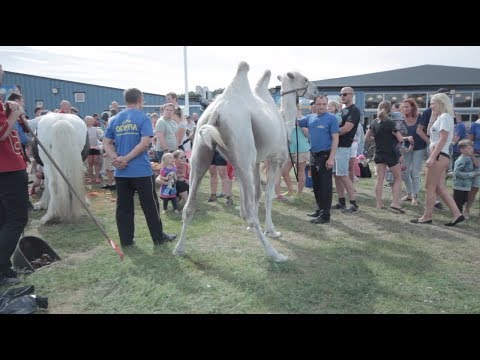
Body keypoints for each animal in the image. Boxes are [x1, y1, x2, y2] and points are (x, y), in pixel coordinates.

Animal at [172, 60, 318, 260]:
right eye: (305, 79)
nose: (317, 91)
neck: (283, 120)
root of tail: (215, 113)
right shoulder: (275, 159)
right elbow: (268, 195)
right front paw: (271, 231)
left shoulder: (255, 162)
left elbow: (256, 193)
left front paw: (250, 225)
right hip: (242, 147)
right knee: (250, 212)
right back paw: (275, 254)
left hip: (202, 154)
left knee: (189, 206)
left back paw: (179, 248)